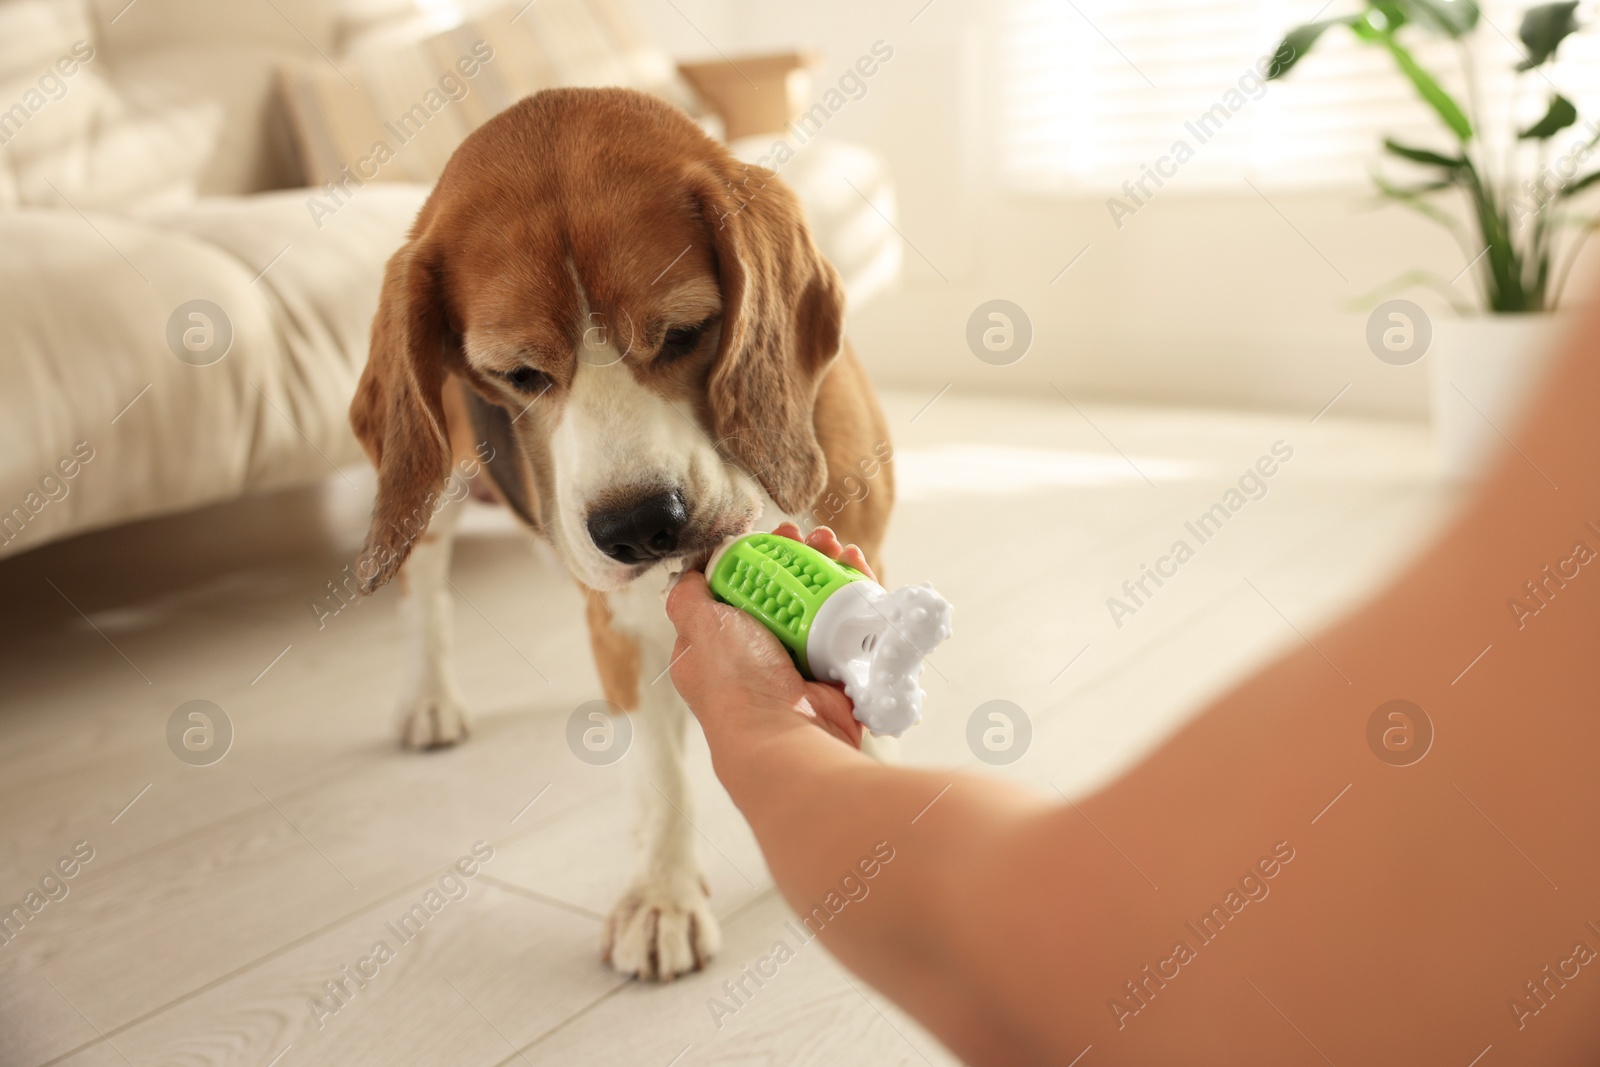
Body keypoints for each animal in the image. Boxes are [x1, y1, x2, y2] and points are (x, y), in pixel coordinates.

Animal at [348, 91, 896, 985]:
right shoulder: (631, 628)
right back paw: (429, 697)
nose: (639, 526)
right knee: (423, 589)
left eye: (685, 333)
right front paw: (662, 895)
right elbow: (662, 772)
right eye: (517, 373)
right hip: (433, 494)